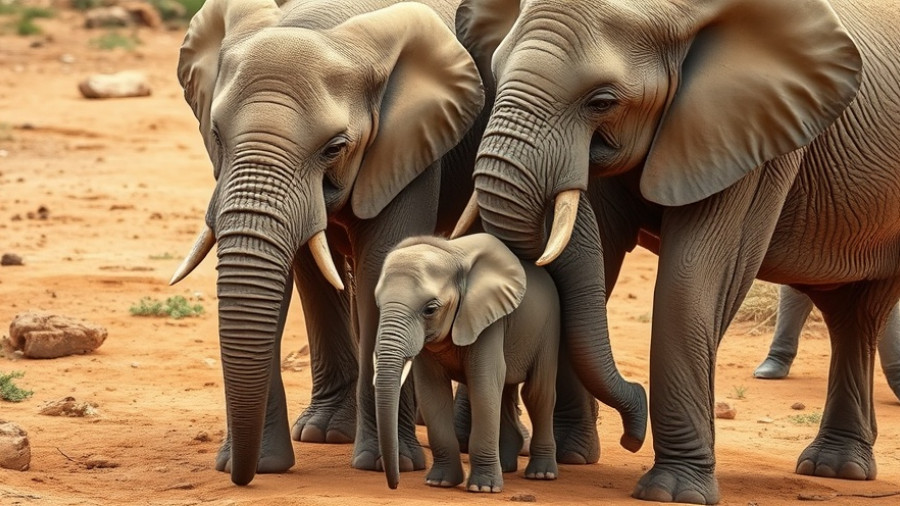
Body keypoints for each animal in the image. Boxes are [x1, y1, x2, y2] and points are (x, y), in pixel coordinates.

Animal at [169, 0, 490, 486]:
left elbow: (382, 264)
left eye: (335, 148)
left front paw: (385, 465)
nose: (240, 476)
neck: (321, 22)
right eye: (217, 135)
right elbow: (301, 273)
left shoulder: (409, 145)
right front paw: (298, 448)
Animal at [373, 233, 559, 491]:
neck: (451, 253)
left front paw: (483, 488)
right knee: (506, 391)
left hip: (549, 328)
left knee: (537, 393)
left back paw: (541, 474)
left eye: (430, 309)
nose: (395, 485)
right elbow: (432, 391)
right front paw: (439, 482)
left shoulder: (488, 321)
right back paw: (507, 467)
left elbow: (483, 385)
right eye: (378, 305)